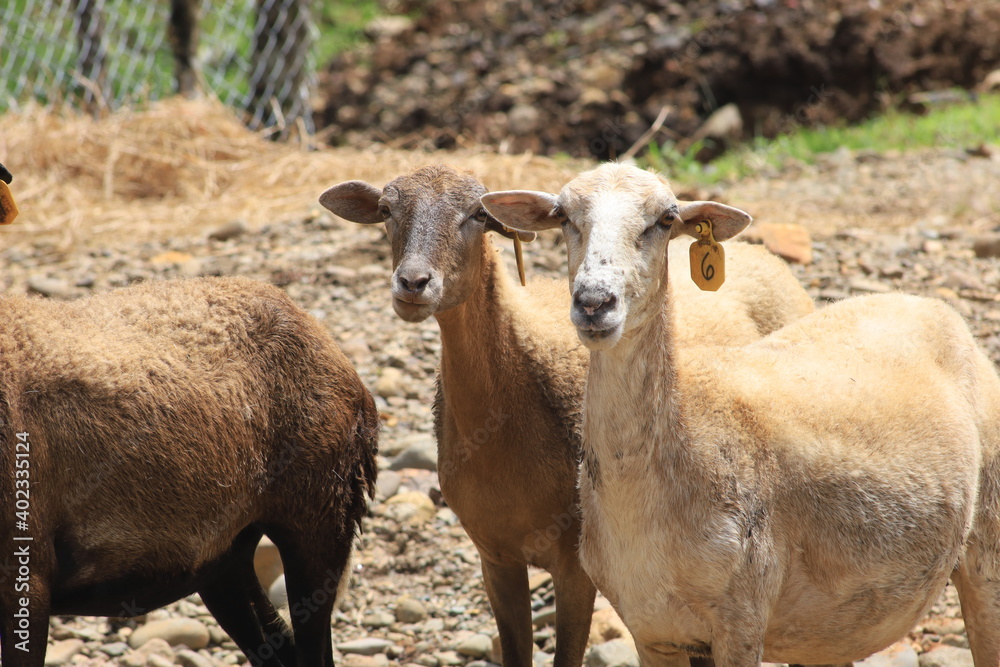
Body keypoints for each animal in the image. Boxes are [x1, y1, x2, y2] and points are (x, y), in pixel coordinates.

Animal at [482, 162, 1000, 667]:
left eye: (665, 219)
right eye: (563, 217)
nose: (594, 303)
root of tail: (927, 303)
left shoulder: (742, 614)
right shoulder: (651, 631)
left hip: (989, 544)